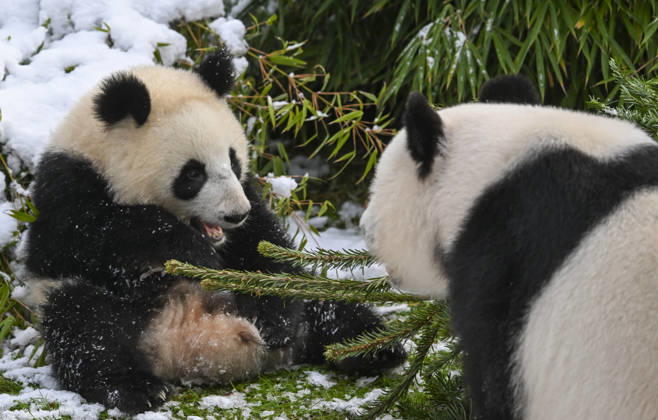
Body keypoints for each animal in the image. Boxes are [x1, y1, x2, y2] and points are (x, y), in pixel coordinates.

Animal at [22, 48, 405, 414]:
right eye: (193, 173)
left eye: (232, 160)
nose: (234, 215)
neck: (101, 157)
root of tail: (191, 346)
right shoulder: (66, 187)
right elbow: (87, 237)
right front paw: (189, 249)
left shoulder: (248, 195)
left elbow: (262, 246)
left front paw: (275, 321)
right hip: (93, 302)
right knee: (86, 327)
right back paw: (135, 389)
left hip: (302, 299)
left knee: (324, 303)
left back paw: (374, 348)